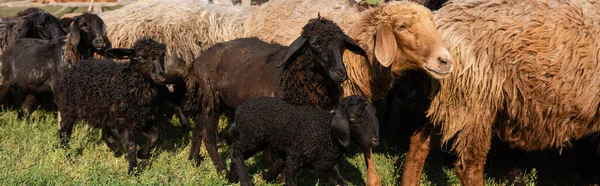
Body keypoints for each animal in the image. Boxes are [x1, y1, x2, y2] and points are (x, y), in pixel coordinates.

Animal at [55, 37, 168, 174]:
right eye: (141, 58)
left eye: (163, 56)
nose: (160, 76)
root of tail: (75, 66)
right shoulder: (122, 119)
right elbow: (131, 144)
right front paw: (133, 169)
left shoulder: (142, 119)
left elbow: (155, 136)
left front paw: (143, 154)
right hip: (69, 108)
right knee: (64, 133)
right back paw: (70, 158)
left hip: (103, 111)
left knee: (106, 133)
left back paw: (116, 150)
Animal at [185, 15, 368, 172]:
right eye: (315, 44)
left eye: (342, 46)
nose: (340, 73)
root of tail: (199, 60)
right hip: (212, 97)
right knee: (208, 136)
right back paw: (221, 169)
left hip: (215, 99)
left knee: (199, 125)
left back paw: (193, 159)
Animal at [227, 96, 378, 186]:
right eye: (353, 117)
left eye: (373, 115)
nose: (375, 140)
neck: (326, 134)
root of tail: (240, 109)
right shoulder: (293, 163)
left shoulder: (330, 167)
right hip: (252, 138)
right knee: (236, 151)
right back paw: (245, 181)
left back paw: (232, 179)